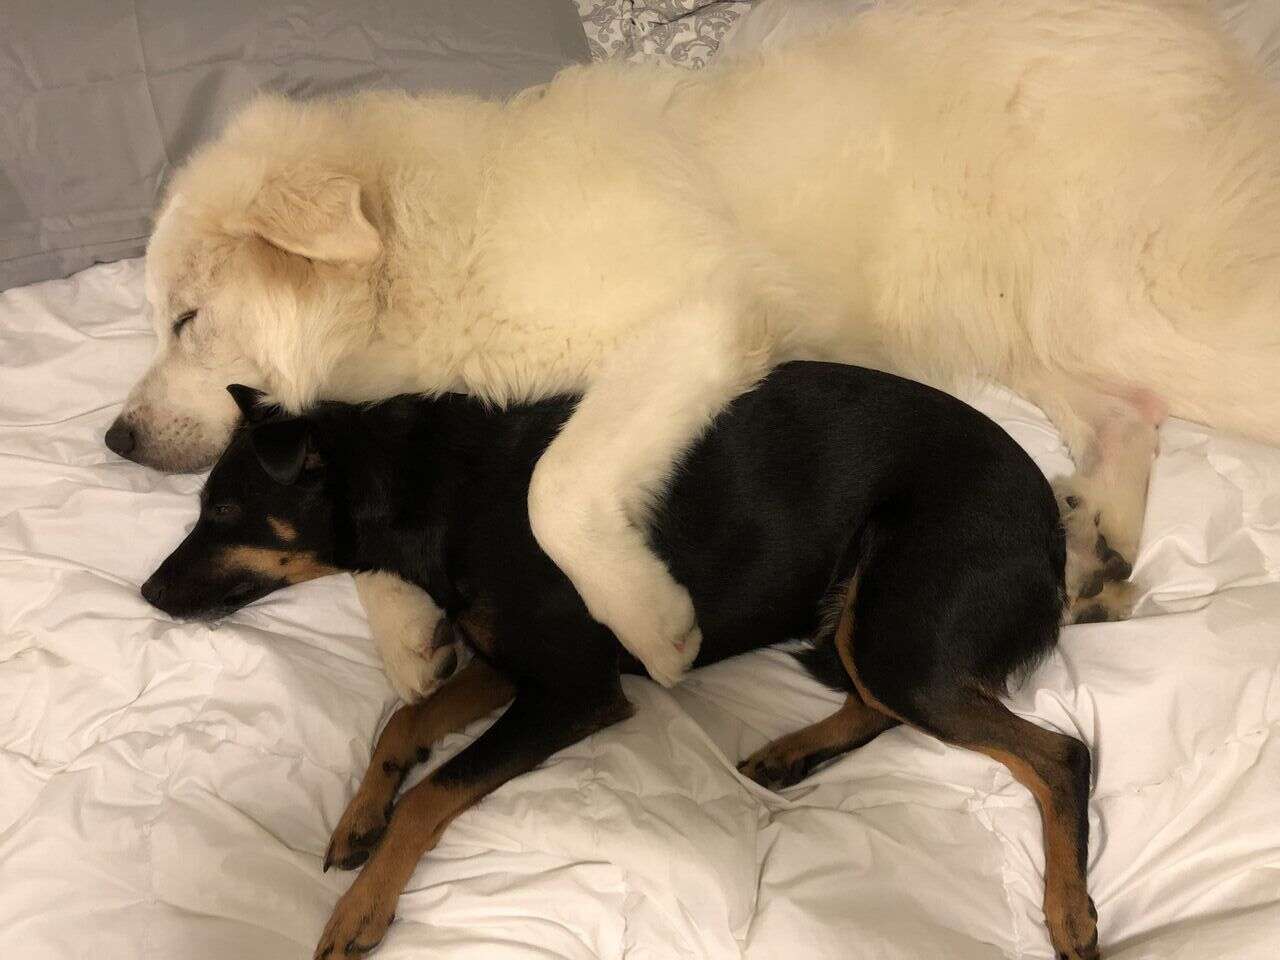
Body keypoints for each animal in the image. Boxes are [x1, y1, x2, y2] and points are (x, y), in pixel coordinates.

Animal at [115, 0, 1280, 701]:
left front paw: (652, 628)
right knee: (1126, 415)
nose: (115, 440)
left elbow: (556, 488)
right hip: (1020, 312)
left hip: (1128, 299)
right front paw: (411, 643)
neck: (439, 238)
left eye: (185, 318)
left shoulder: (695, 324)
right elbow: (374, 538)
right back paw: (1098, 553)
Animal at [140, 363, 1100, 960]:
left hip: (899, 628)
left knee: (1058, 754)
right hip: (876, 630)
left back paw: (1071, 911)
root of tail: (1052, 525)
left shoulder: (572, 690)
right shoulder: (517, 665)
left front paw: (363, 905)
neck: (430, 488)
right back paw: (794, 753)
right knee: (879, 704)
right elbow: (405, 722)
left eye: (221, 510)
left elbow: (434, 793)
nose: (146, 592)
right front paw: (358, 816)